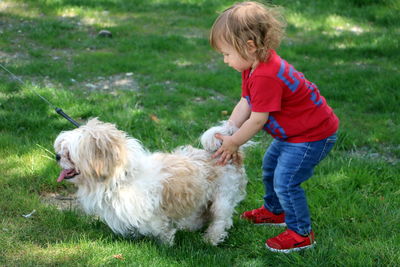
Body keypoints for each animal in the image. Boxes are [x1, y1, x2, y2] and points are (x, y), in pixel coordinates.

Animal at [53, 119, 247, 247]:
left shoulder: (155, 215)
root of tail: (229, 154)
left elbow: (161, 229)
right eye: (61, 149)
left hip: (223, 197)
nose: (57, 156)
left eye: (68, 153)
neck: (124, 176)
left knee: (220, 220)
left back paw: (211, 239)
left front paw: (166, 245)